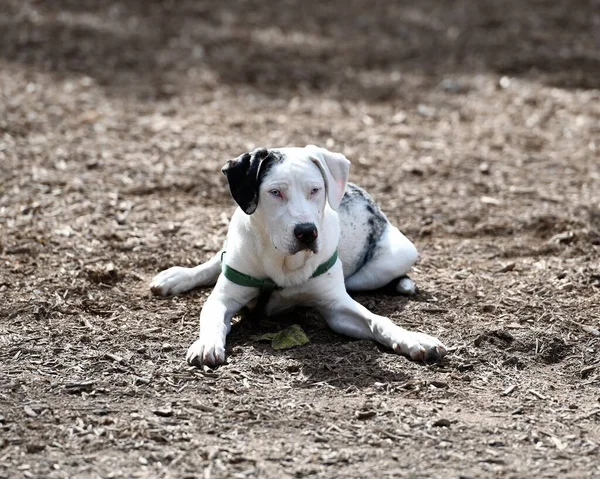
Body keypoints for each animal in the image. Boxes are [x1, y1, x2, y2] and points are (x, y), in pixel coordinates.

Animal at [152, 146, 448, 368]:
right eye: (275, 192)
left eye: (315, 190)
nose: (307, 232)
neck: (282, 263)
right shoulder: (224, 298)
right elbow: (212, 317)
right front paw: (207, 344)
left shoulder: (336, 307)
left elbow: (378, 320)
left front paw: (414, 340)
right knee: (216, 261)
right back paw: (176, 277)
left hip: (395, 258)